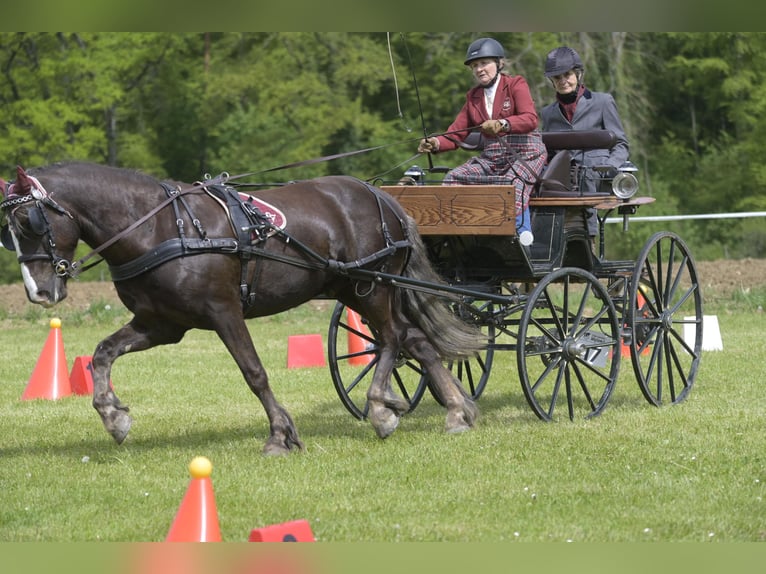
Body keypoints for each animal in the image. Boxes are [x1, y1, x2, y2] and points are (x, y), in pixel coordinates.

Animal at [3, 161, 484, 454]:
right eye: (8, 229)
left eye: (29, 221)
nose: (39, 292)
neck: (159, 226)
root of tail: (382, 197)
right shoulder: (160, 324)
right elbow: (102, 353)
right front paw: (112, 415)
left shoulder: (224, 313)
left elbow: (254, 373)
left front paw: (280, 435)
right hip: (354, 289)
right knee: (413, 339)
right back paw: (456, 411)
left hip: (371, 287)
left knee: (392, 339)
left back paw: (383, 408)